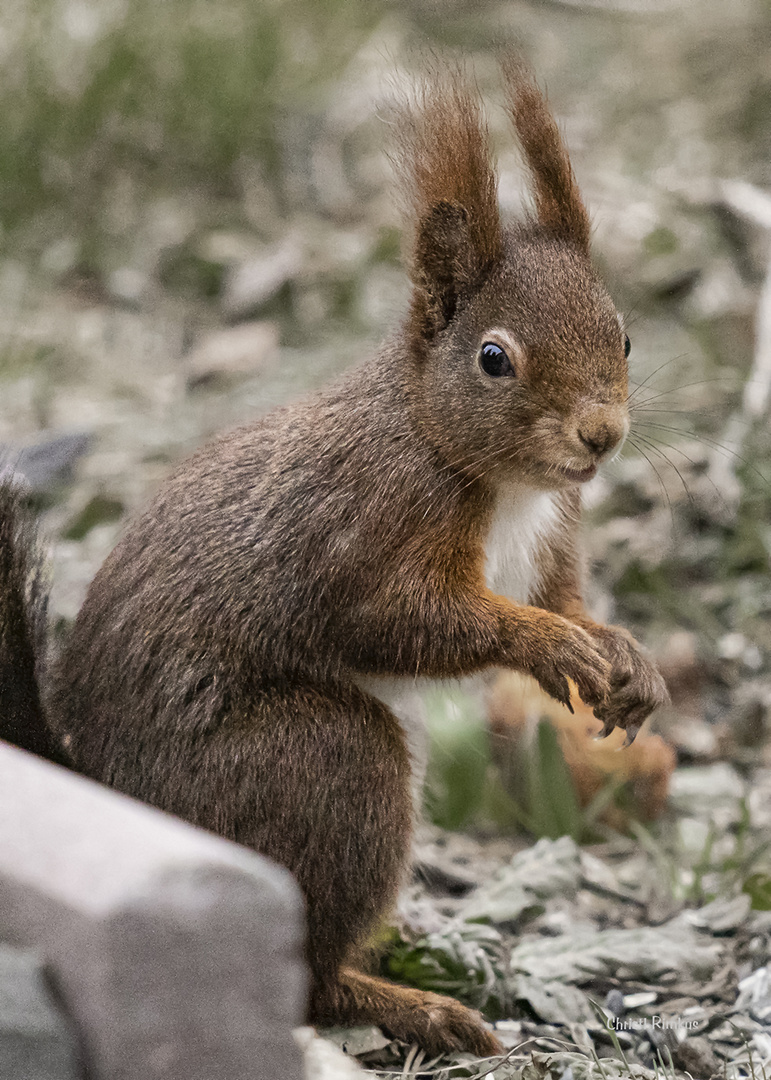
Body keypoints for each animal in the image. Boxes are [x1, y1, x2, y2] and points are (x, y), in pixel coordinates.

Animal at [0, 56, 665, 1054]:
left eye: (621, 333)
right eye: (493, 358)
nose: (601, 435)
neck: (478, 466)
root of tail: (111, 788)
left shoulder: (552, 535)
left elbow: (564, 599)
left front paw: (623, 659)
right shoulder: (368, 529)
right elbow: (404, 621)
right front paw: (552, 647)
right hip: (322, 767)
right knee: (308, 978)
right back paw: (406, 1002)